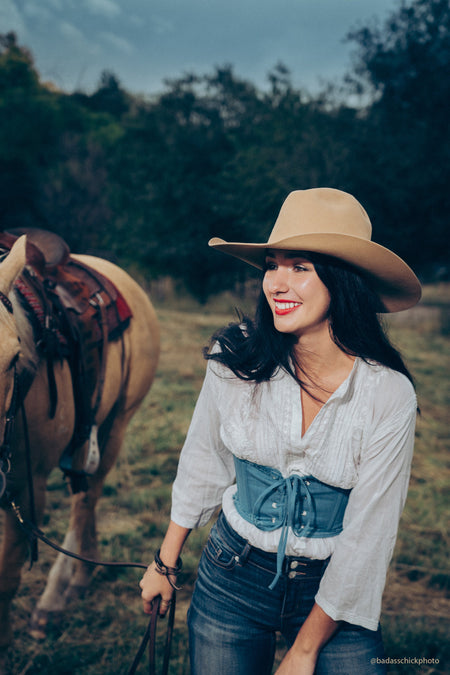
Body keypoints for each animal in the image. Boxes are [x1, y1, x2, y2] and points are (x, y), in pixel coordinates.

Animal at [0, 236, 160, 664]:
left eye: (13, 357)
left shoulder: (25, 489)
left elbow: (6, 578)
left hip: (114, 425)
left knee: (85, 499)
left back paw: (55, 599)